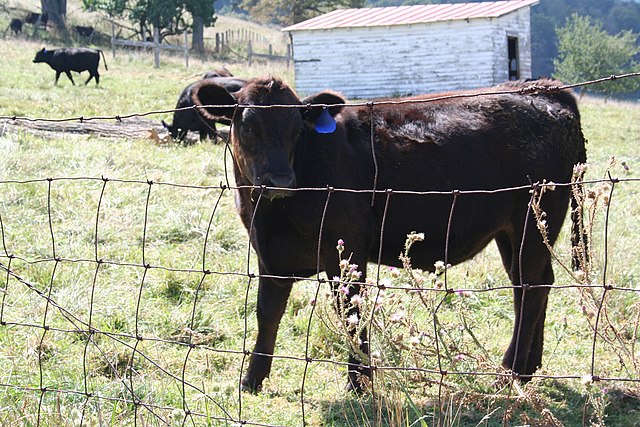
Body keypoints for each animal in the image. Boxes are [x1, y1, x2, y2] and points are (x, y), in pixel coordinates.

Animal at [192, 76, 588, 392]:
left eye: (296, 129)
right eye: (247, 127)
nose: (280, 181)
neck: (271, 213)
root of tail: (542, 89)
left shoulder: (347, 249)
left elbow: (351, 315)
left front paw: (359, 381)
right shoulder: (270, 256)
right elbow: (267, 312)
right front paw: (252, 379)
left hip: (533, 224)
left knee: (531, 288)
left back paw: (511, 372)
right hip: (513, 232)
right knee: (533, 285)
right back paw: (528, 367)